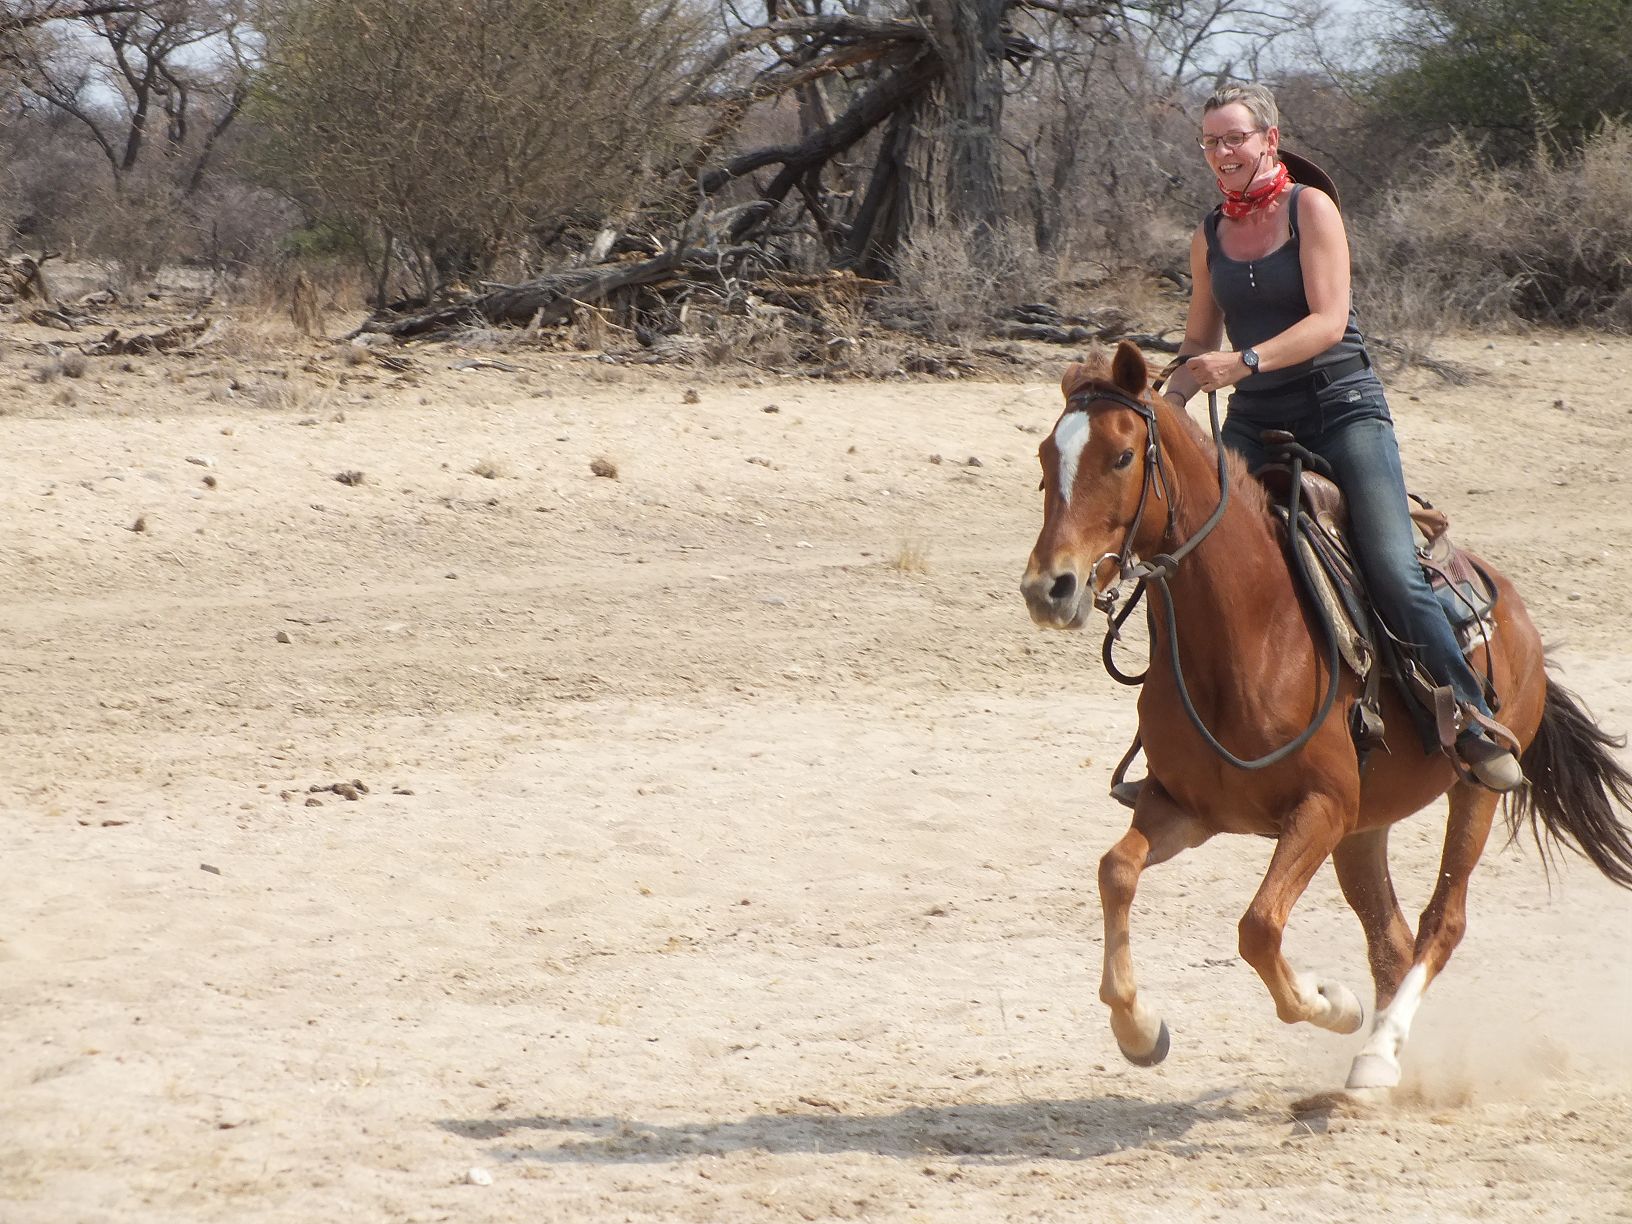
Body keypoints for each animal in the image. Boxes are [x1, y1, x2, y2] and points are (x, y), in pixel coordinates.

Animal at [1018, 342, 1632, 1090]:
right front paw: (1138, 1029)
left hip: (1472, 793)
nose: (1049, 588)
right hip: (1364, 830)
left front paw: (1330, 1003)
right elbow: (1116, 872)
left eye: (1122, 456)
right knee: (1391, 939)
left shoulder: (1322, 808)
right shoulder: (1187, 808)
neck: (1247, 635)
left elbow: (1258, 926)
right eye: (1047, 456)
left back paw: (1376, 1054)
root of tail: (1512, 605)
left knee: (1441, 922)